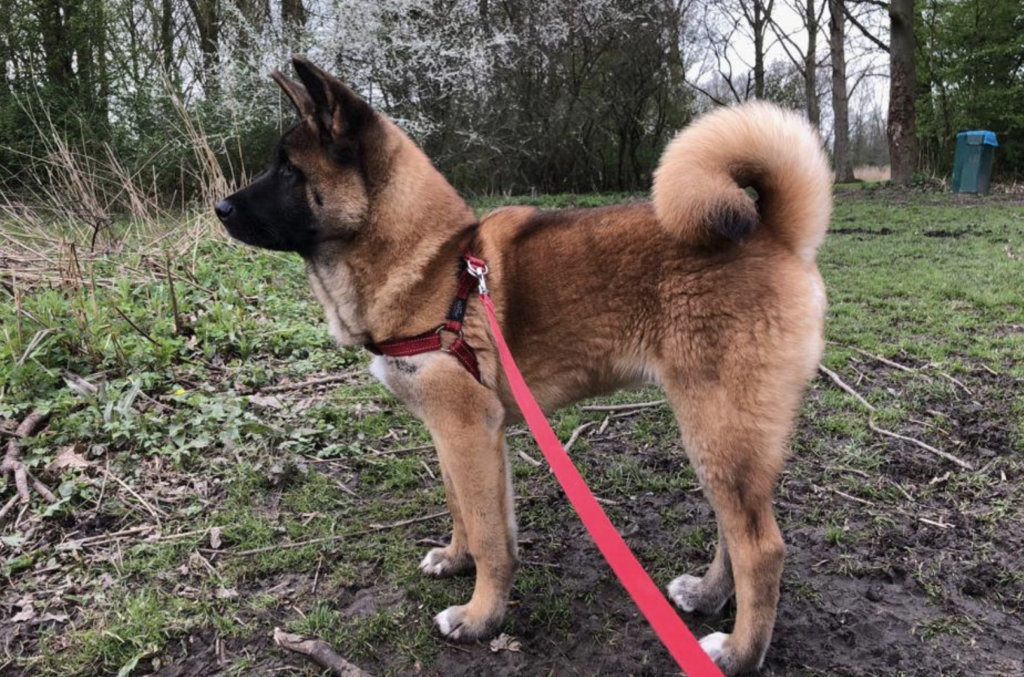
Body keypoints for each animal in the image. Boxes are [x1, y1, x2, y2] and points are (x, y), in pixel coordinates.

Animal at [216, 55, 831, 671]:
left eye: (289, 170)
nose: (219, 208)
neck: (436, 265)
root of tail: (772, 231)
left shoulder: (468, 430)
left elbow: (492, 539)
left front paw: (480, 616)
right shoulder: (453, 435)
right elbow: (462, 509)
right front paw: (456, 559)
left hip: (717, 429)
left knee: (761, 548)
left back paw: (739, 652)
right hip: (721, 437)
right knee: (736, 530)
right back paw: (707, 595)